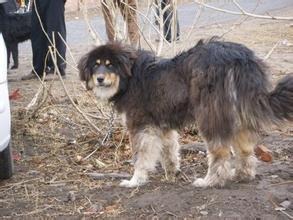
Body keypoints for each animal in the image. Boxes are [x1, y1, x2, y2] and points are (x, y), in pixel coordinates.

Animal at [77, 39, 292, 187]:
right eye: (96, 64)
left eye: (110, 64)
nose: (100, 79)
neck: (129, 77)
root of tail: (242, 58)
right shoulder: (162, 125)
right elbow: (169, 151)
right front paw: (172, 172)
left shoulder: (141, 126)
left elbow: (141, 157)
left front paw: (135, 181)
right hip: (238, 115)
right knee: (245, 150)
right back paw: (242, 175)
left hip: (210, 116)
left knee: (220, 153)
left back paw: (211, 181)